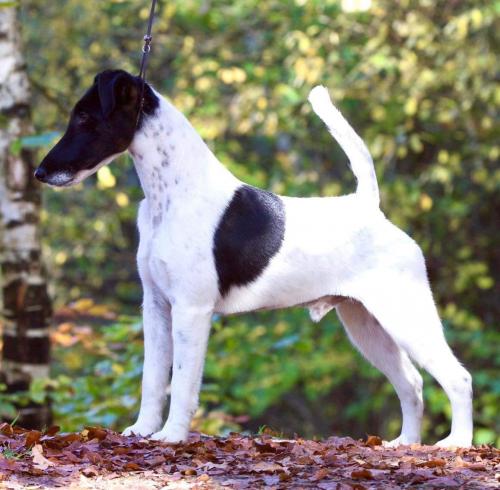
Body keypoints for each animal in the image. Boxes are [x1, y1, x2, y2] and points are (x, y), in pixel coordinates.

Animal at [35, 70, 472, 448]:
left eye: (85, 117)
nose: (40, 173)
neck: (173, 194)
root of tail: (369, 207)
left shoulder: (191, 310)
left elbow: (183, 381)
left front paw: (172, 436)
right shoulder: (156, 306)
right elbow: (153, 378)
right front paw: (142, 429)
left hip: (406, 316)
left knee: (458, 378)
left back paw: (457, 445)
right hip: (366, 323)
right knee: (412, 383)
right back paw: (406, 443)